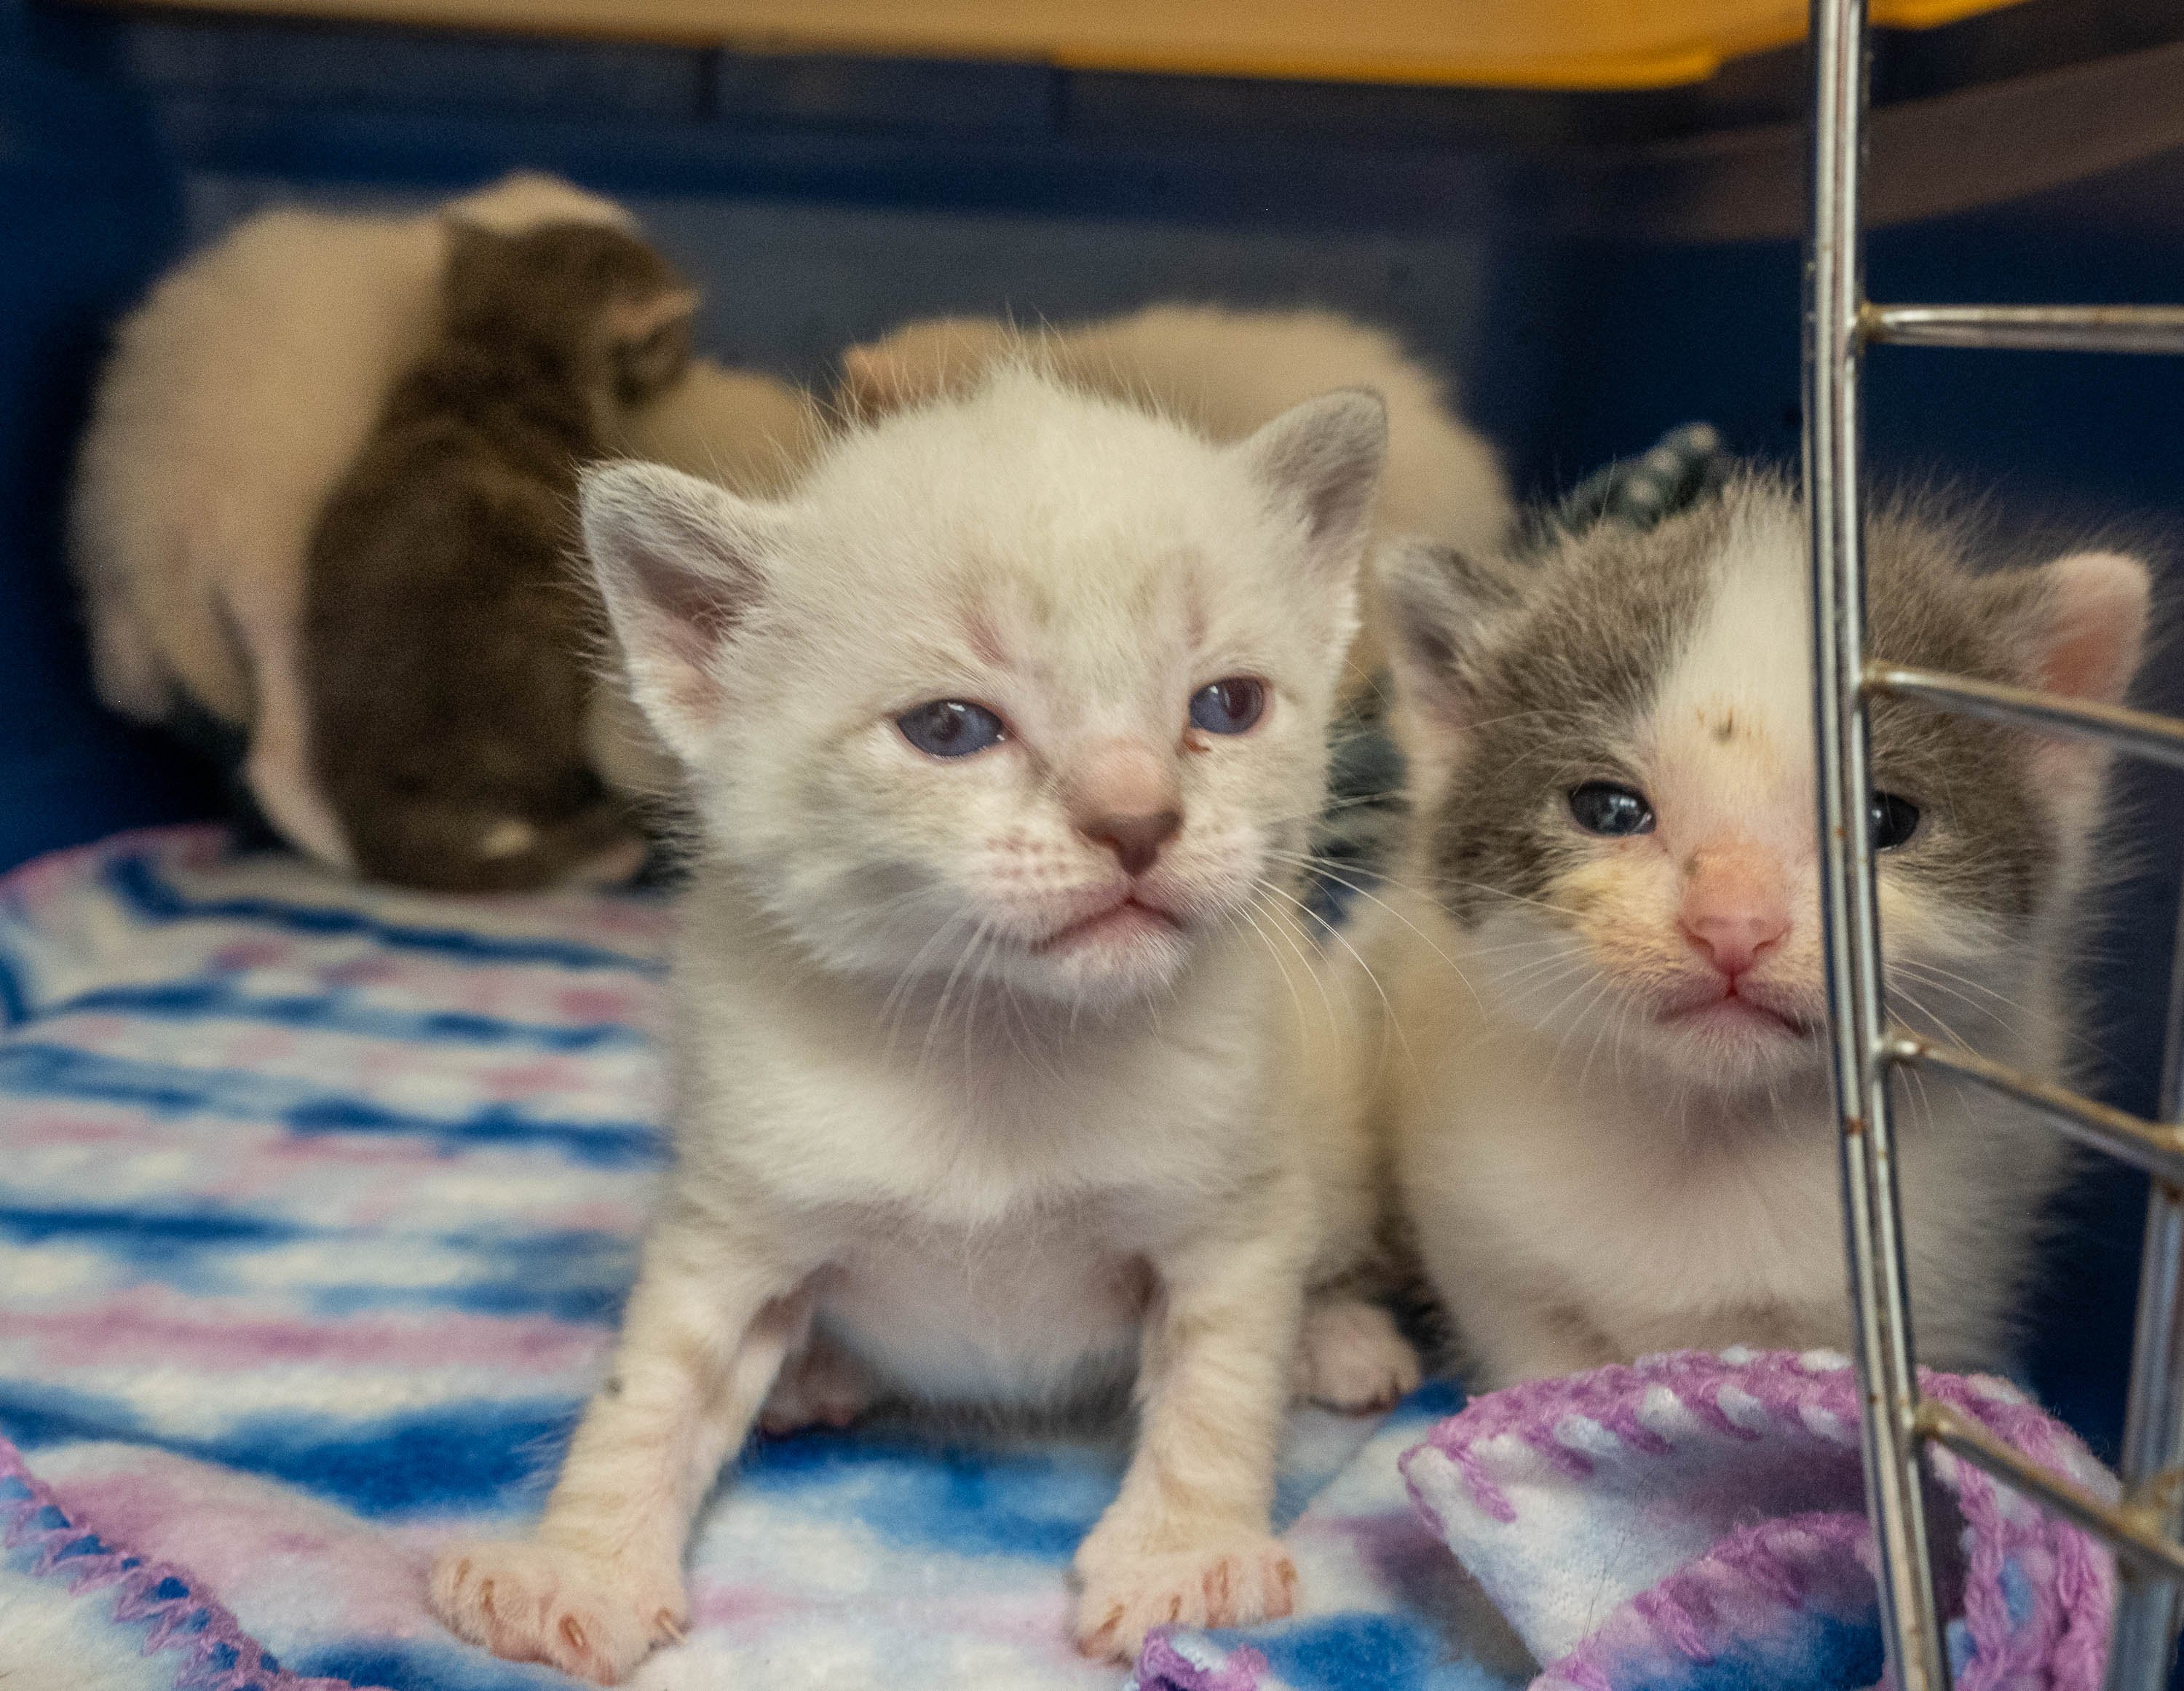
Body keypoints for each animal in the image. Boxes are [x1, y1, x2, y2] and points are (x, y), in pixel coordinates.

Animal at [428, 367, 1424, 1677]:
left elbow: (1220, 1382)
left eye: (1227, 704)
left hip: (1334, 1134)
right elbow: (650, 1387)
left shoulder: (1234, 1217)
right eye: (950, 729)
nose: (1139, 819)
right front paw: (577, 1567)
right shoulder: (730, 1211)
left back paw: (1343, 1338)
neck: (999, 1035)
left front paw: (1185, 1556)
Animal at [1363, 467, 2149, 1389]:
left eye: (1882, 819)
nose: (1733, 924)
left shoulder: (1951, 1272)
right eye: (1608, 809)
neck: (1714, 1136)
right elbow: (1543, 1360)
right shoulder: (1489, 1253)